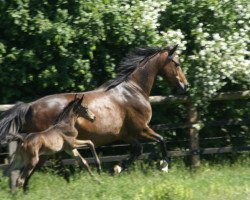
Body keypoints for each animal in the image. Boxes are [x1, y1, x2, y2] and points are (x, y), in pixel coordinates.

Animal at [0, 45, 188, 172]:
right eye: (177, 64)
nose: (186, 86)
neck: (133, 90)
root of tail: (30, 107)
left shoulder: (127, 134)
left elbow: (137, 150)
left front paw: (119, 168)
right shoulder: (141, 129)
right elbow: (162, 140)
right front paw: (164, 166)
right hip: (47, 148)